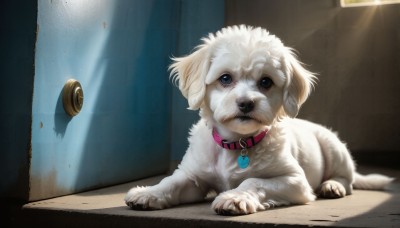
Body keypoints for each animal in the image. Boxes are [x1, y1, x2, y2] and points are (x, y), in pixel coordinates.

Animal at [126, 25, 394, 216]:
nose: (246, 103)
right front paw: (148, 193)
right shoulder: (193, 176)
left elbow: (253, 181)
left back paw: (332, 186)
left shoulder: (295, 181)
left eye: (266, 82)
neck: (237, 143)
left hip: (334, 149)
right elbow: (170, 182)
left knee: (347, 180)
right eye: (225, 78)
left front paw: (235, 197)